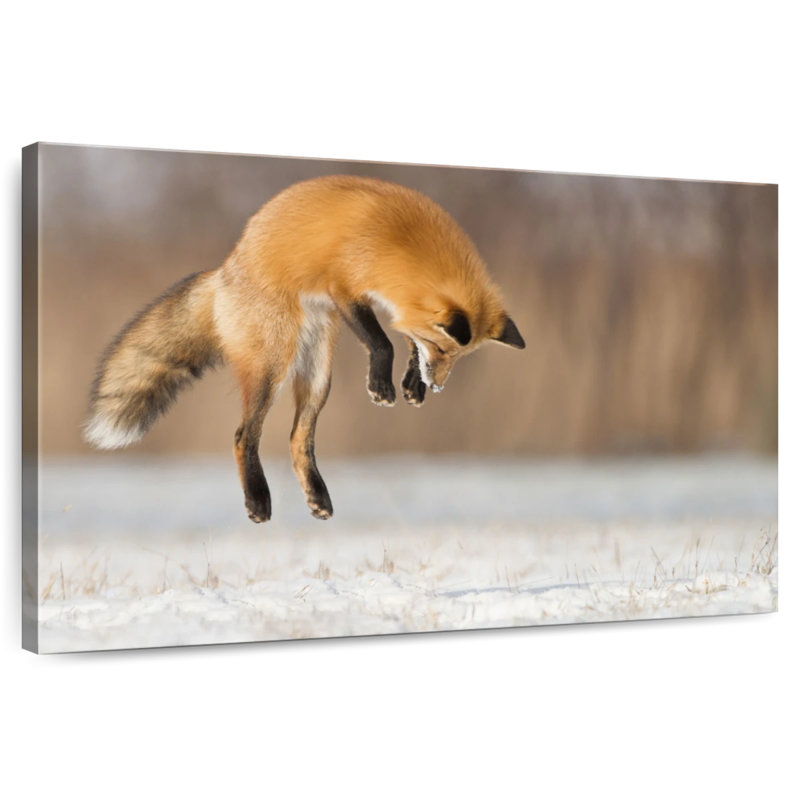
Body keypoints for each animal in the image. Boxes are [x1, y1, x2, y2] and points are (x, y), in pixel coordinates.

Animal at [85, 175, 525, 523]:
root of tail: (225, 270)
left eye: (458, 356)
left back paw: (318, 497)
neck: (402, 241)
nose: (438, 387)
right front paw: (383, 385)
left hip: (317, 375)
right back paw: (258, 500)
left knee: (299, 439)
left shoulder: (389, 302)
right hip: (273, 364)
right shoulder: (344, 288)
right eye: (443, 349)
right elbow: (382, 342)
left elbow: (404, 340)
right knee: (244, 435)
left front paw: (411, 384)